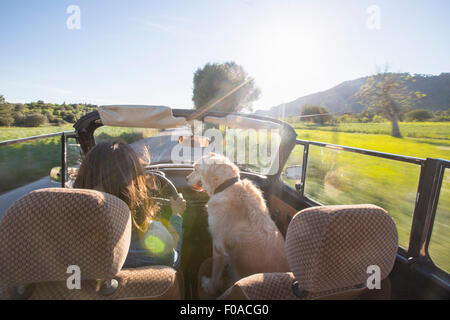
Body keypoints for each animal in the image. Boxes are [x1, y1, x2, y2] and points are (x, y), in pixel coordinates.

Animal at [186, 152, 288, 296]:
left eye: (195, 169)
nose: (185, 178)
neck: (227, 186)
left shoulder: (218, 247)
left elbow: (215, 274)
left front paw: (209, 286)